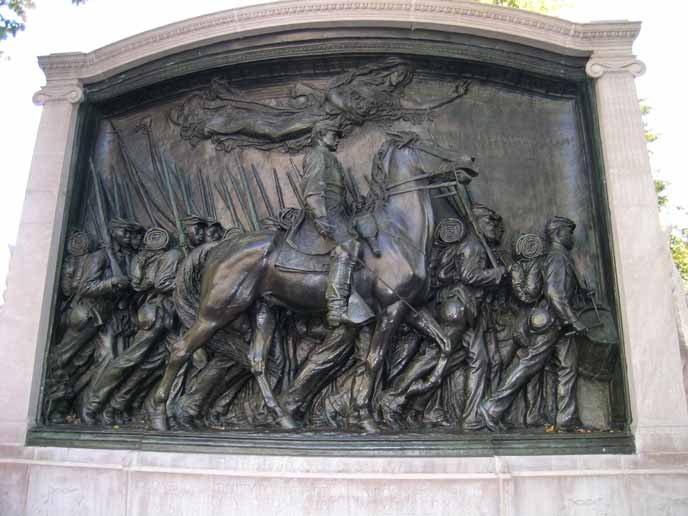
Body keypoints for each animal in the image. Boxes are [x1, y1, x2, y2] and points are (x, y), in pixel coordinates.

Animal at [146, 132, 472, 432]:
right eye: (432, 146)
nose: (469, 162)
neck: (399, 233)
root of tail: (219, 248)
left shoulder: (412, 308)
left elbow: (444, 344)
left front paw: (421, 385)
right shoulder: (391, 310)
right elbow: (375, 360)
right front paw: (367, 418)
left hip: (263, 310)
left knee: (257, 361)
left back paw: (283, 417)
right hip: (218, 311)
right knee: (180, 350)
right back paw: (161, 416)